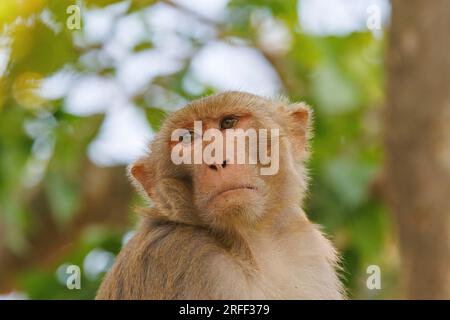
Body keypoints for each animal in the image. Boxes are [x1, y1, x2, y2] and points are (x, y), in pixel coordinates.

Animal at [96, 90, 344, 300]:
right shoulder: (184, 257)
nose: (216, 160)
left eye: (228, 123)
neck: (252, 240)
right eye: (187, 138)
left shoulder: (305, 248)